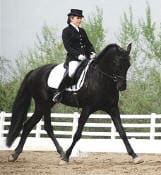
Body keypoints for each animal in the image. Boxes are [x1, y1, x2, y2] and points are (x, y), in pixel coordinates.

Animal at [6, 43, 143, 163]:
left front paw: (134, 156)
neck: (100, 79)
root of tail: (34, 71)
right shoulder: (87, 108)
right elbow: (77, 134)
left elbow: (122, 132)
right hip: (44, 104)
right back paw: (60, 153)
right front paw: (66, 157)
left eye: (128, 65)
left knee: (30, 126)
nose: (122, 86)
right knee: (45, 126)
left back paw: (16, 154)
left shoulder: (113, 108)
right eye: (115, 63)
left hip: (43, 106)